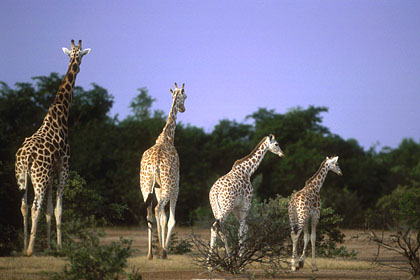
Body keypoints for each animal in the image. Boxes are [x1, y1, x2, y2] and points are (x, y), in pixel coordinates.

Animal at [15, 39, 90, 256]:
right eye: (79, 55)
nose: (78, 66)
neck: (60, 114)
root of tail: (26, 157)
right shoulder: (63, 166)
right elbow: (58, 208)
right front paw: (59, 246)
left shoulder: (50, 172)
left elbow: (49, 209)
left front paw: (49, 246)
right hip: (39, 177)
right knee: (34, 206)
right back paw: (30, 249)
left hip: (22, 177)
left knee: (24, 206)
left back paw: (24, 246)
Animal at [139, 82, 187, 260]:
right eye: (185, 96)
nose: (183, 108)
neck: (167, 136)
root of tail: (154, 164)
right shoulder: (175, 185)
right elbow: (171, 219)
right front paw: (165, 250)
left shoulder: (158, 188)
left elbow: (163, 219)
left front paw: (160, 249)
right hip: (167, 186)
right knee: (157, 209)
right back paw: (162, 252)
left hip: (145, 186)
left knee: (149, 212)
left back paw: (150, 254)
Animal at [208, 135, 284, 264]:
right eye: (276, 144)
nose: (282, 154)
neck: (248, 171)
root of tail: (216, 192)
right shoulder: (246, 204)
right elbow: (242, 230)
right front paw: (240, 258)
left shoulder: (237, 208)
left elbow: (243, 229)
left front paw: (240, 256)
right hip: (226, 207)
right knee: (220, 226)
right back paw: (228, 257)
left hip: (215, 208)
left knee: (215, 227)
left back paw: (209, 262)